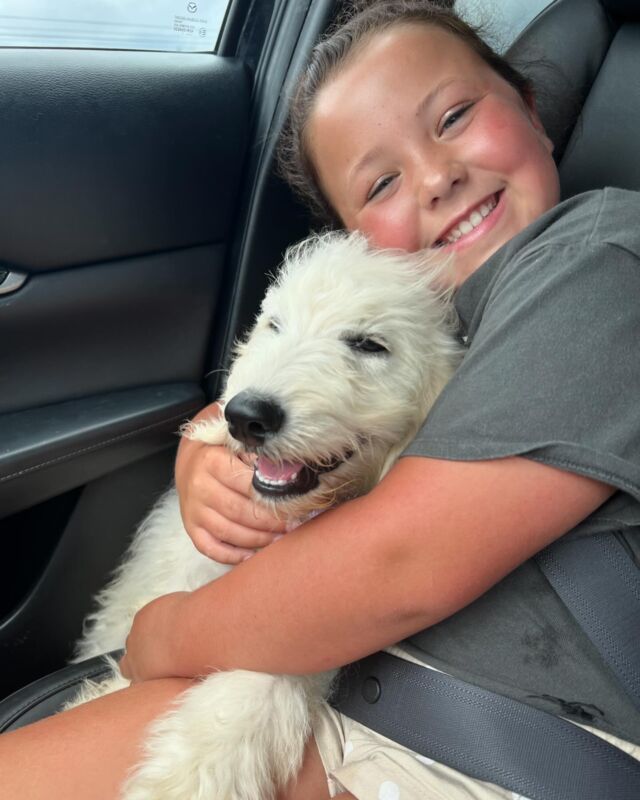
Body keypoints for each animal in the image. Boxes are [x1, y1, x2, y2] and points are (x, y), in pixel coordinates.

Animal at [71, 228, 460, 796]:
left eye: (370, 344)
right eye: (274, 325)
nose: (246, 416)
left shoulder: (308, 615)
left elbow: (260, 674)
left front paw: (183, 780)